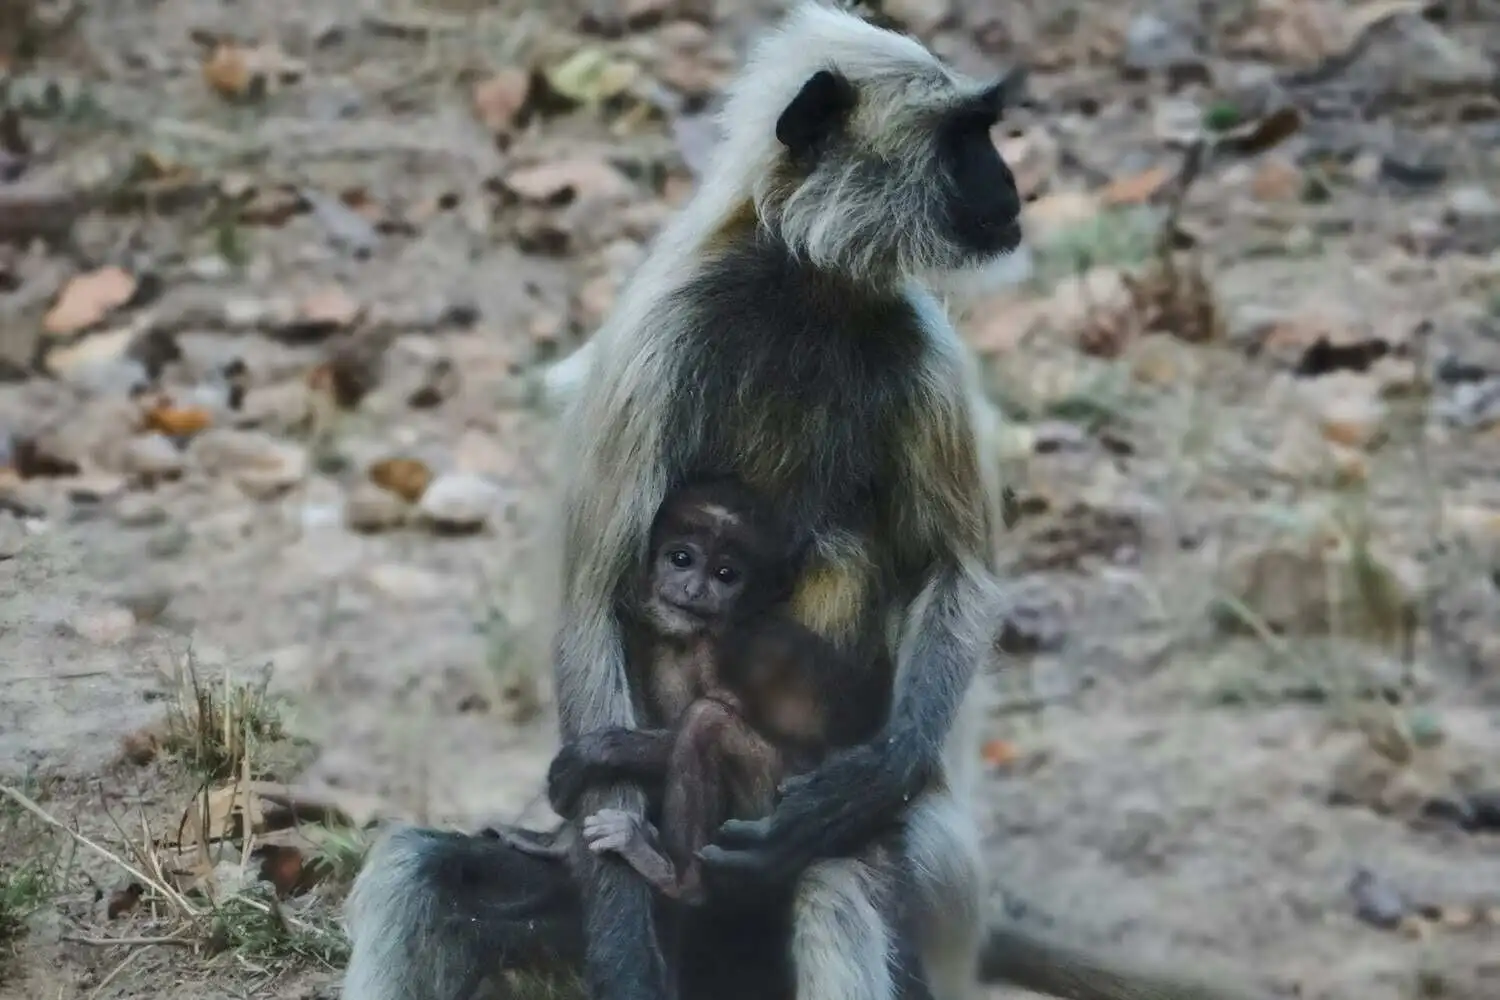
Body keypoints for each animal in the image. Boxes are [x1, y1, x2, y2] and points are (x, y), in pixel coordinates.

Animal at [345, 5, 1284, 1000]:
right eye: (966, 138)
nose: (1008, 184)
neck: (806, 287)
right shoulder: (658, 338)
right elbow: (591, 605)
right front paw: (624, 950)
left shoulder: (921, 344)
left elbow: (961, 574)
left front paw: (866, 779)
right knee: (416, 872)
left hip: (914, 891)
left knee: (834, 885)